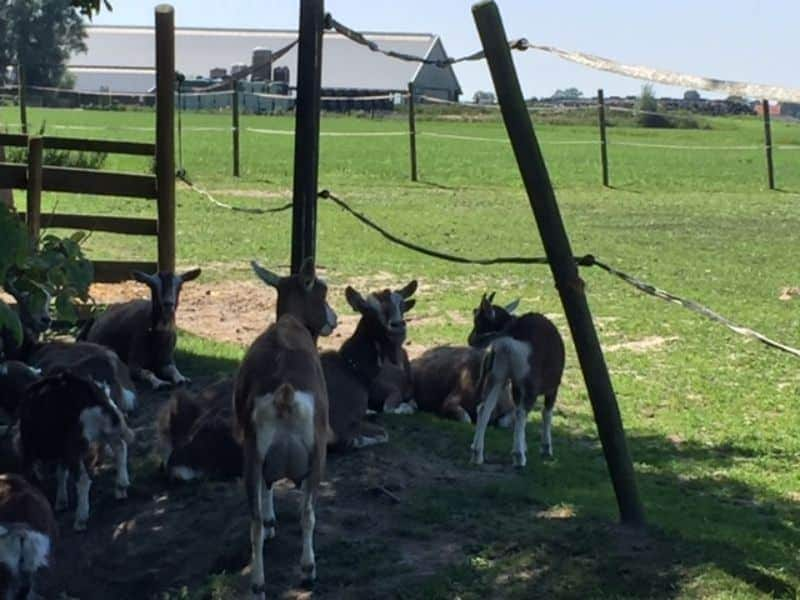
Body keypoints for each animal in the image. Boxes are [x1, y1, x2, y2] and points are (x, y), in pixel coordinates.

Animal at [17, 372, 135, 532]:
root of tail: (91, 393)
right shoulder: (61, 450)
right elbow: (61, 472)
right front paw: (61, 501)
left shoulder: (35, 451)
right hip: (107, 431)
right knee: (120, 447)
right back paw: (121, 487)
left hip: (77, 443)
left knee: (84, 480)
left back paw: (81, 519)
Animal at [238, 258, 338, 596]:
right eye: (322, 290)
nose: (334, 319)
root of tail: (285, 394)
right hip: (314, 457)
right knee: (307, 514)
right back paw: (307, 571)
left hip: (253, 457)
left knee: (254, 521)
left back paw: (258, 584)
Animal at [466, 292, 564, 466]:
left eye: (478, 320)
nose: (470, 340)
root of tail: (507, 342)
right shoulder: (551, 386)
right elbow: (546, 413)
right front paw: (546, 449)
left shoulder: (515, 385)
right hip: (527, 384)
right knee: (522, 413)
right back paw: (518, 457)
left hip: (497, 377)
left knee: (484, 408)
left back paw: (477, 453)